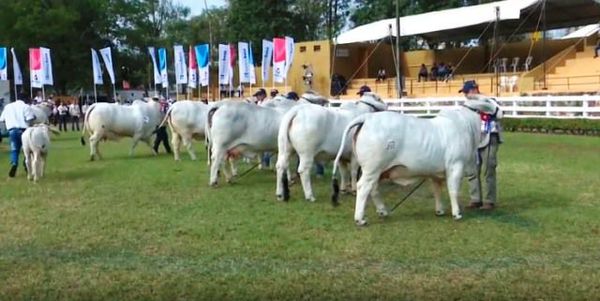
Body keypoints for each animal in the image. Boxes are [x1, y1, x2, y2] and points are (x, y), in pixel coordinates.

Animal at [332, 96, 502, 225]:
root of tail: (366, 118)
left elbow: (437, 190)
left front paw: (439, 210)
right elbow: (453, 190)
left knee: (373, 189)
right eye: (488, 99)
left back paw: (383, 211)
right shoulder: (456, 166)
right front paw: (457, 213)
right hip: (372, 168)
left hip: (377, 170)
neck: (466, 124)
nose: (501, 110)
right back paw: (360, 219)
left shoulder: (436, 173)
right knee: (363, 187)